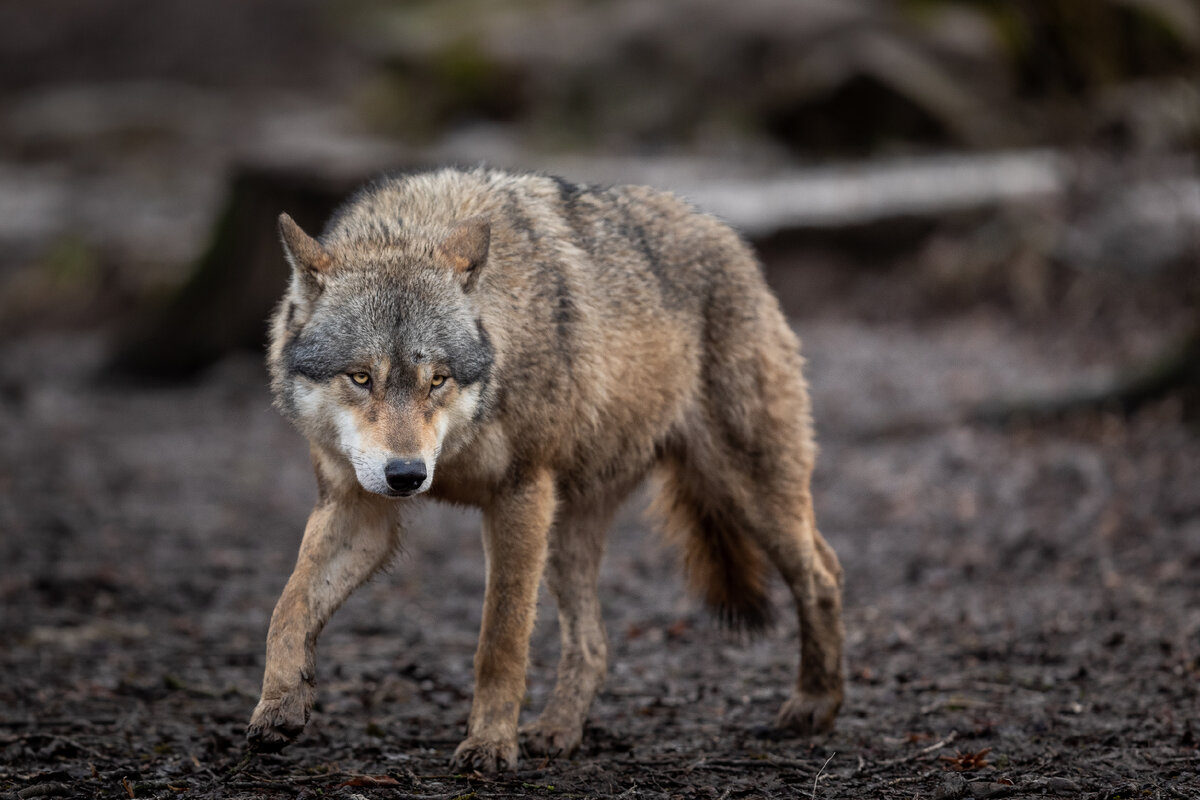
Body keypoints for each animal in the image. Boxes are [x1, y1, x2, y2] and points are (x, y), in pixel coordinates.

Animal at [246, 165, 844, 772]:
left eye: (437, 380)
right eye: (361, 377)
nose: (408, 476)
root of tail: (733, 240)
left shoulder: (520, 496)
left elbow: (501, 640)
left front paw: (489, 743)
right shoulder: (360, 508)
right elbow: (288, 606)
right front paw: (280, 705)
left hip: (745, 492)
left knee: (824, 574)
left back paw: (815, 703)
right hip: (568, 534)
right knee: (595, 644)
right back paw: (559, 731)